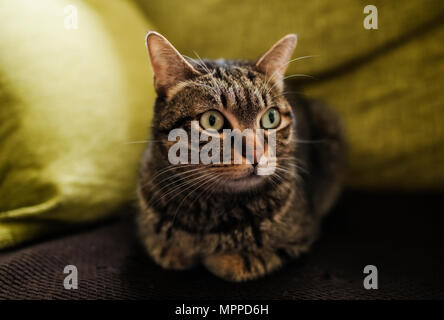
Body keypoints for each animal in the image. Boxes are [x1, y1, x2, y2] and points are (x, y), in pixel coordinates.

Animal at [137, 31, 346, 282]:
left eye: (271, 118)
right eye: (212, 121)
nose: (256, 154)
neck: (208, 212)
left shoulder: (302, 232)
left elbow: (246, 259)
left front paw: (224, 259)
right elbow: (164, 246)